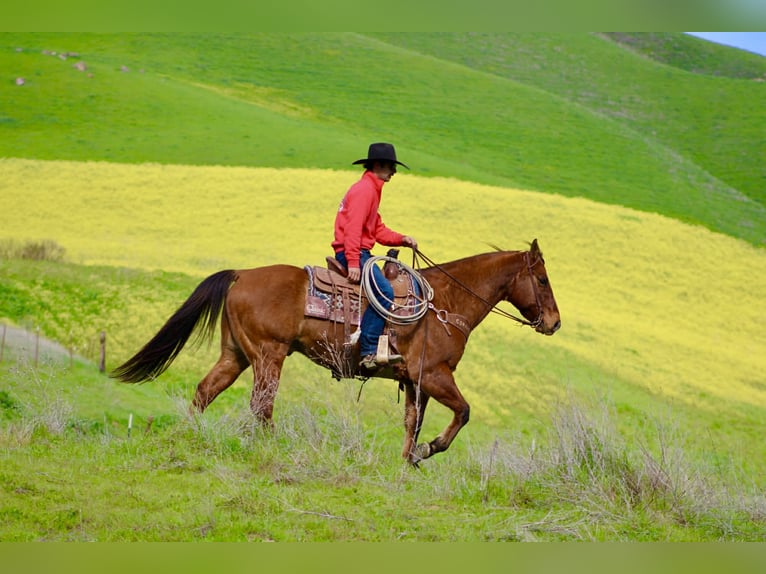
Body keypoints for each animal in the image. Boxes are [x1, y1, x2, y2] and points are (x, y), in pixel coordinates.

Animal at [111, 239, 560, 465]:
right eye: (541, 279)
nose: (555, 322)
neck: (443, 304)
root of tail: (241, 274)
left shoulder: (416, 381)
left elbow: (412, 422)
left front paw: (407, 462)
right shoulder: (435, 374)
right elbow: (463, 413)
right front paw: (428, 450)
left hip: (235, 355)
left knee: (207, 391)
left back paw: (188, 436)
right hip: (269, 356)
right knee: (261, 405)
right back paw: (274, 448)